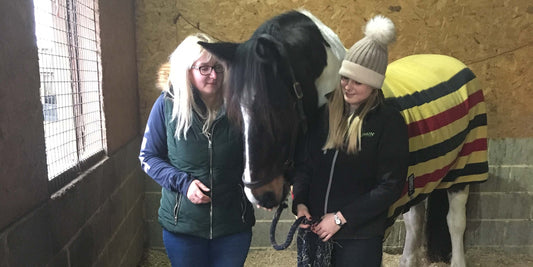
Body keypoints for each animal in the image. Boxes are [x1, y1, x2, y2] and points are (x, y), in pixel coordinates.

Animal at [198, 9, 486, 267]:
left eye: (276, 111)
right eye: (234, 114)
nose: (260, 195)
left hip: (464, 171)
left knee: (455, 222)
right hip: (425, 174)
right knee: (416, 220)